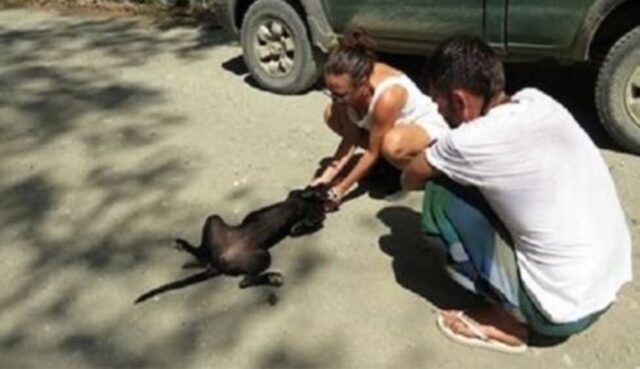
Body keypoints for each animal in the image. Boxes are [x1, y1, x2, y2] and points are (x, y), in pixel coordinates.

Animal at [133, 184, 328, 302]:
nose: (327, 196)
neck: (305, 207)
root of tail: (219, 262)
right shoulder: (294, 196)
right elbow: (303, 194)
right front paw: (317, 194)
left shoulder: (299, 217)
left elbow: (299, 225)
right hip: (262, 254)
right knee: (244, 282)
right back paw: (273, 277)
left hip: (215, 224)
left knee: (207, 257)